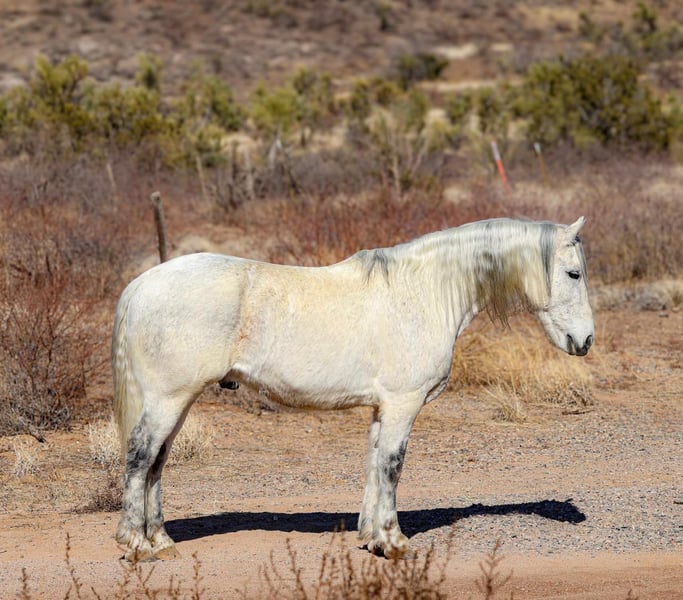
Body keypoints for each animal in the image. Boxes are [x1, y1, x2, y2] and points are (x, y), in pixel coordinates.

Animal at [112, 216, 594, 561]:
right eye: (573, 273)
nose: (585, 340)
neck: (425, 291)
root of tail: (141, 284)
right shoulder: (403, 404)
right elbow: (393, 467)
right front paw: (395, 543)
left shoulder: (382, 408)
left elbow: (374, 465)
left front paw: (372, 537)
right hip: (168, 400)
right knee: (140, 457)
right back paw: (136, 545)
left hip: (176, 403)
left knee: (157, 462)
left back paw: (160, 541)